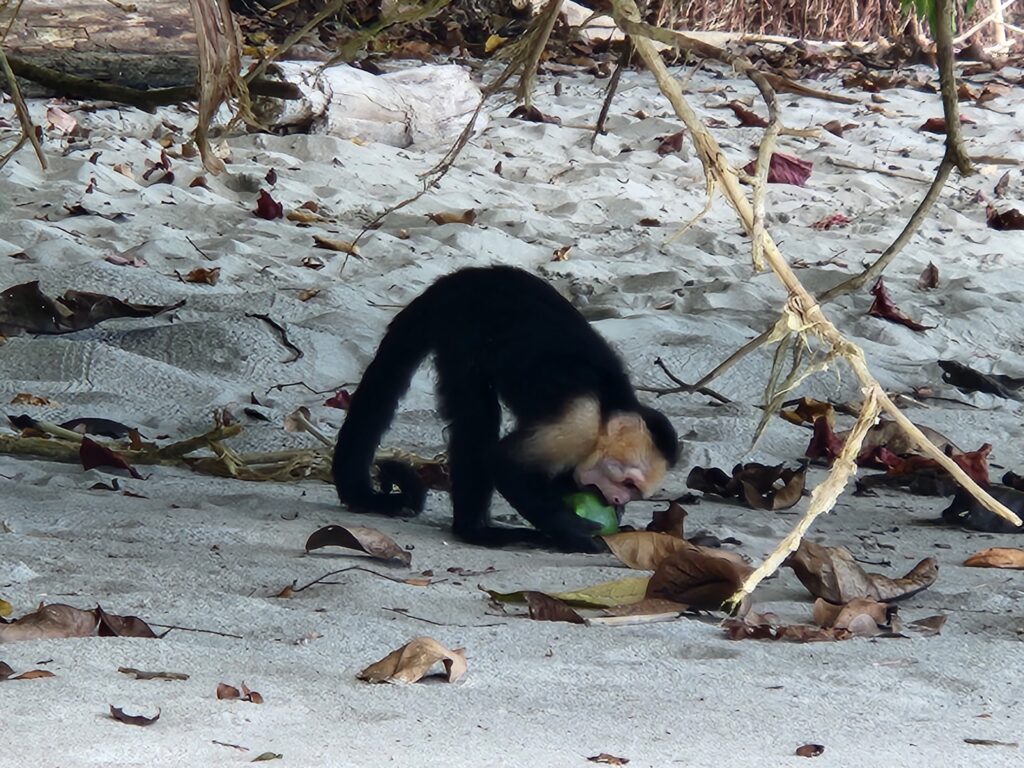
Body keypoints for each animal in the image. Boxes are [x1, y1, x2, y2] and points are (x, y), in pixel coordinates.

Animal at [331, 265, 679, 552]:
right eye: (628, 483)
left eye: (634, 493)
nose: (619, 500)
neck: (609, 405)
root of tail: (465, 277)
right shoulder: (580, 422)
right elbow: (505, 462)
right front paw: (570, 531)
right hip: (463, 326)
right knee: (476, 417)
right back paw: (476, 531)